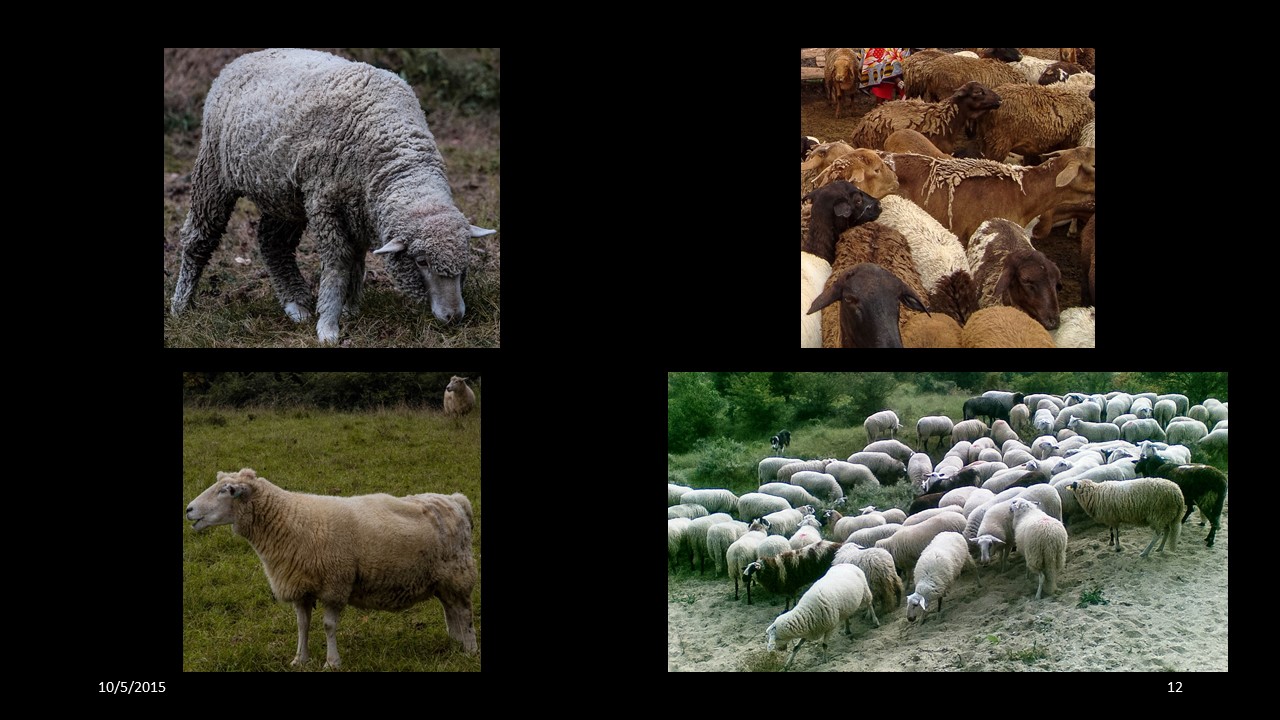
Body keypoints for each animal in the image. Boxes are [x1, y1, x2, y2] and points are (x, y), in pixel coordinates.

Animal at [170, 49, 496, 344]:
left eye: (465, 260)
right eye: (421, 261)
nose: (453, 316)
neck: (394, 146)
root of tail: (243, 59)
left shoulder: (360, 207)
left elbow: (357, 259)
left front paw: (350, 308)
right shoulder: (325, 202)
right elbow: (339, 262)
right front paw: (328, 324)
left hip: (283, 194)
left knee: (273, 242)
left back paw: (296, 304)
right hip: (213, 171)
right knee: (200, 237)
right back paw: (181, 304)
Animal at [185, 468, 477, 667]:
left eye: (226, 490)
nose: (188, 509)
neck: (290, 520)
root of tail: (456, 500)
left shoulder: (335, 583)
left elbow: (328, 626)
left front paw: (331, 662)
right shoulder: (300, 585)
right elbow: (302, 625)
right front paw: (299, 660)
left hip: (458, 572)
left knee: (464, 612)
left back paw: (470, 650)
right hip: (441, 579)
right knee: (451, 610)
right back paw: (455, 644)